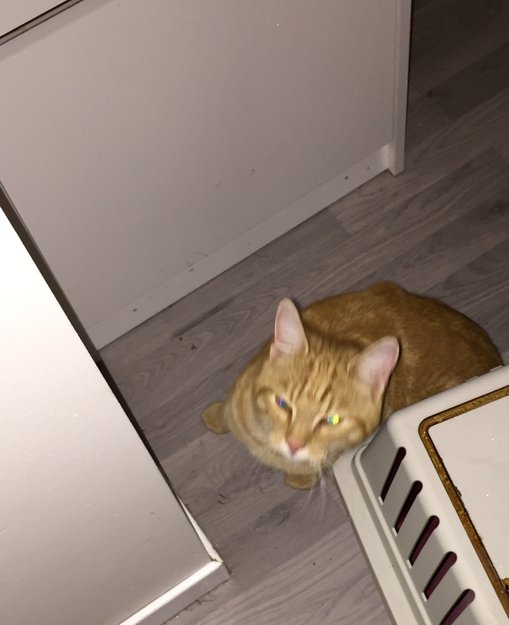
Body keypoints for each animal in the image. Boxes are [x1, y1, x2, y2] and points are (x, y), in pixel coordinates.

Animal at [202, 282, 502, 489]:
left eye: (332, 420)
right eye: (282, 404)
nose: (294, 444)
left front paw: (299, 478)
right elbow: (228, 412)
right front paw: (215, 416)